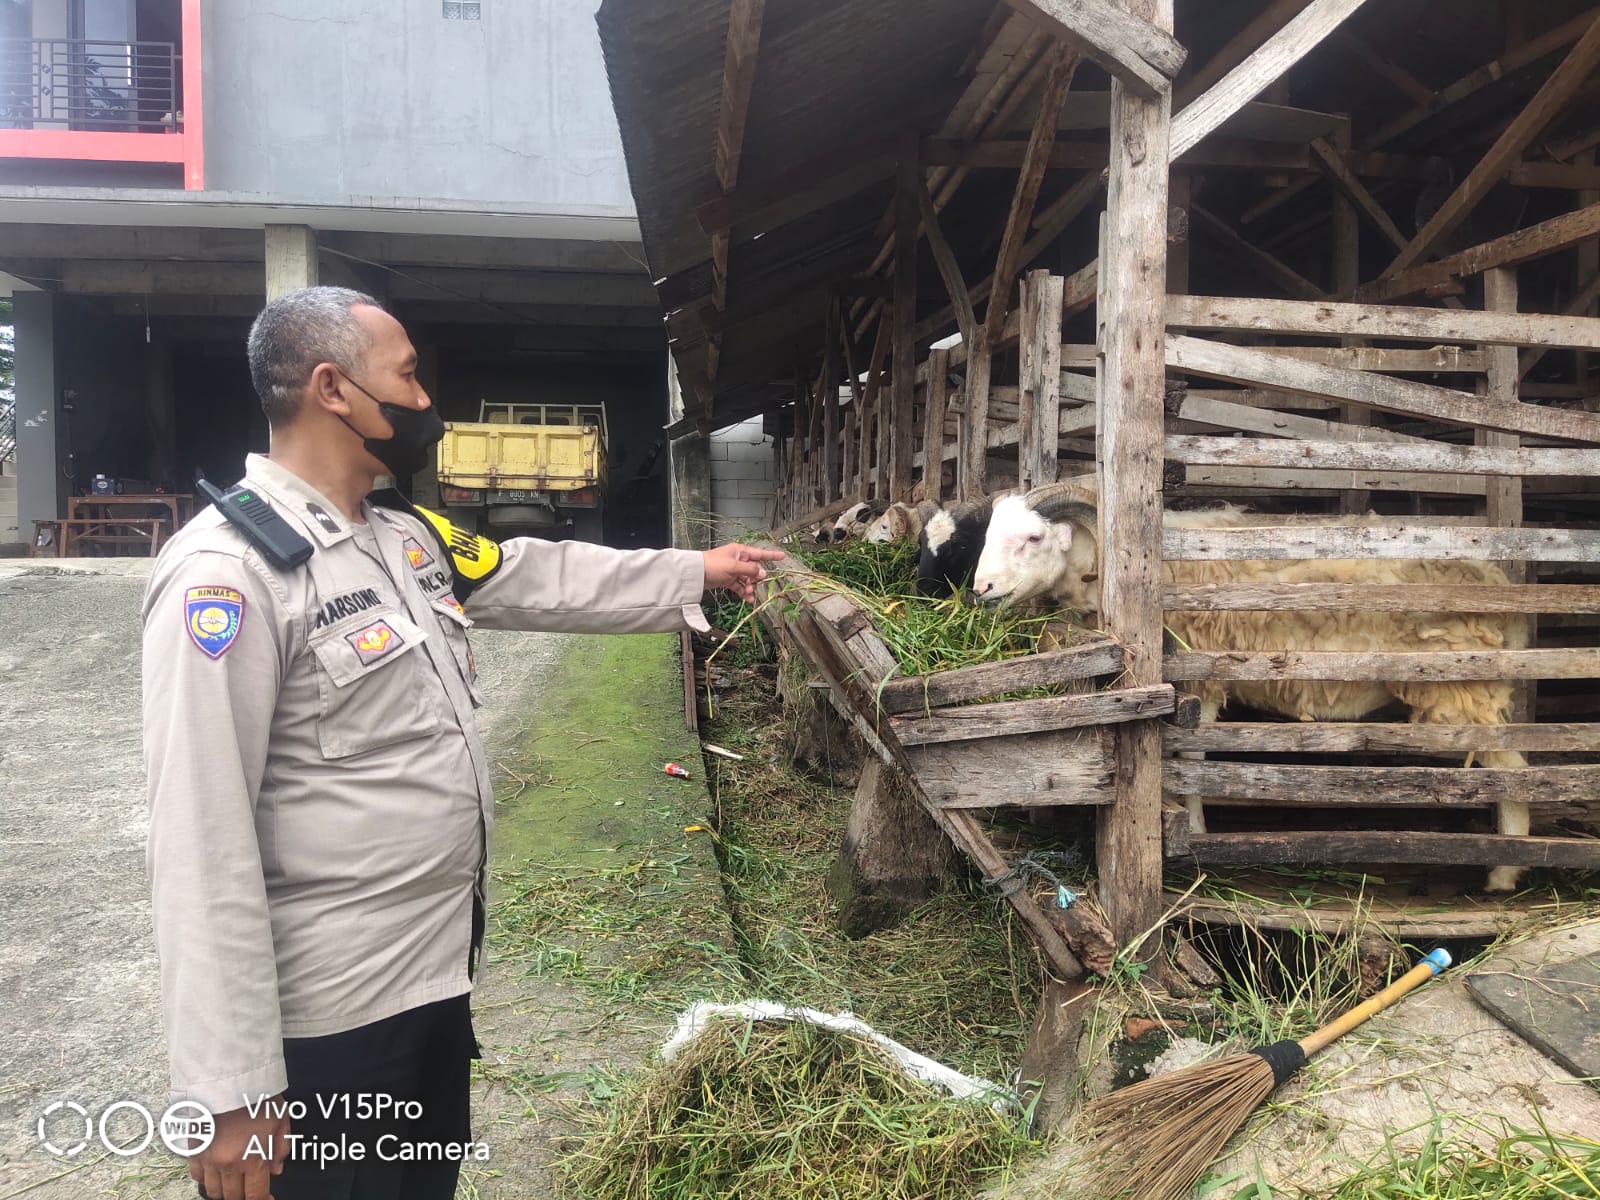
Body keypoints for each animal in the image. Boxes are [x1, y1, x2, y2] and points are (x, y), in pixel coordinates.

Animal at [966, 486, 1529, 896]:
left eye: (1033, 538)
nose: (980, 590)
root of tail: (1496, 579)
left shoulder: (1202, 682)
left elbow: (1191, 762)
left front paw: (1193, 835)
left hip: (1464, 685)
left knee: (1514, 767)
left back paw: (1504, 873)